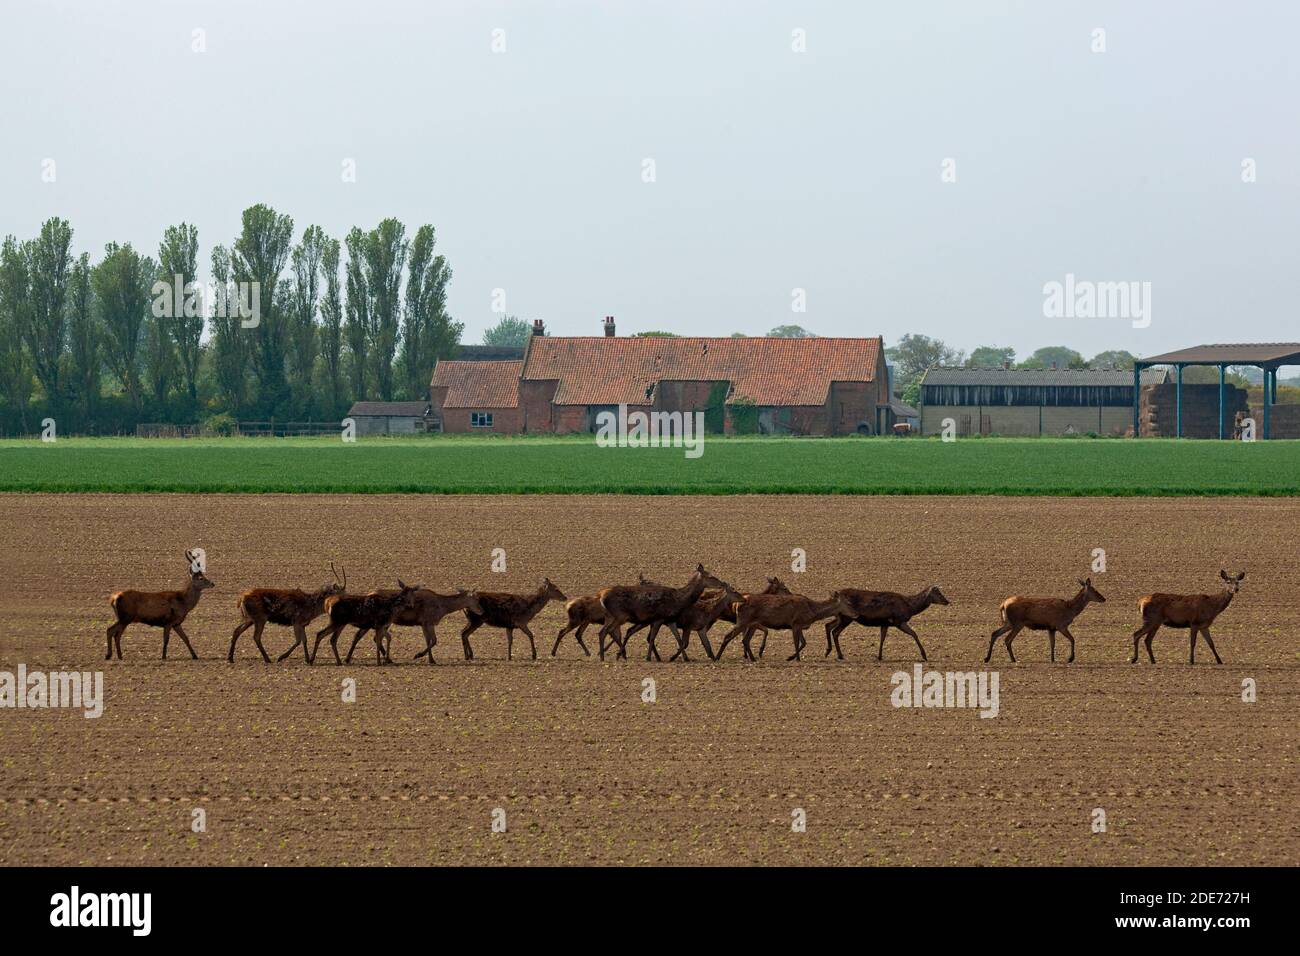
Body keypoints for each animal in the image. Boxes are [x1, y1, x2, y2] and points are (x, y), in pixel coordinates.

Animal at [595, 565, 726, 662]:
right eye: (710, 576)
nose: (723, 583)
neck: (679, 600)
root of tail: (601, 597)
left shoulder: (666, 620)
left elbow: (676, 640)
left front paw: (683, 658)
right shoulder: (660, 618)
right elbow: (653, 638)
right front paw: (649, 658)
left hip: (614, 617)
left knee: (606, 632)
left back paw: (616, 655)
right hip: (620, 615)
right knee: (608, 631)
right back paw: (605, 656)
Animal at [714, 591, 854, 662]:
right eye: (848, 603)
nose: (855, 614)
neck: (812, 611)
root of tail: (737, 604)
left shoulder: (799, 625)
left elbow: (803, 642)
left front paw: (792, 657)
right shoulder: (795, 623)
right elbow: (797, 642)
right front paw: (796, 659)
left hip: (751, 623)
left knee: (745, 640)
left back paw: (753, 659)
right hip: (743, 620)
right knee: (728, 636)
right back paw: (717, 657)